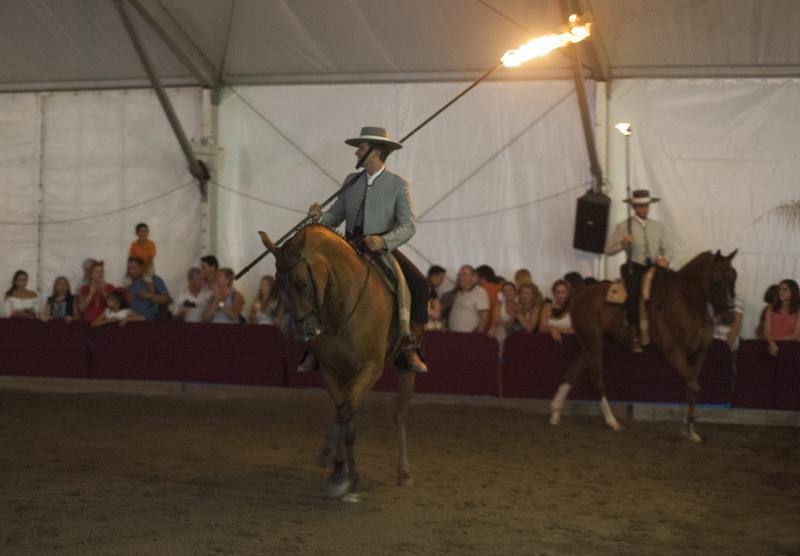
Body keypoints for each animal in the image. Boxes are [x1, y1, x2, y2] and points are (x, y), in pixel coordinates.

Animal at [260, 226, 416, 500]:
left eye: (302, 282)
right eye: (279, 284)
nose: (305, 332)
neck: (342, 307)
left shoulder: (370, 369)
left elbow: (345, 415)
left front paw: (335, 464)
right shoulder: (332, 371)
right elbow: (344, 416)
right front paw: (339, 473)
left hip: (405, 368)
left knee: (399, 414)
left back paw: (404, 472)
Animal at [552, 250, 736, 440]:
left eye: (733, 277)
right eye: (716, 279)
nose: (727, 317)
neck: (687, 303)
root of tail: (580, 292)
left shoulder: (699, 354)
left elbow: (691, 387)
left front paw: (689, 429)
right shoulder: (674, 352)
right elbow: (693, 386)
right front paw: (690, 429)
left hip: (589, 342)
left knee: (572, 372)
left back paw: (556, 413)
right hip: (593, 340)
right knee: (596, 378)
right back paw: (612, 421)